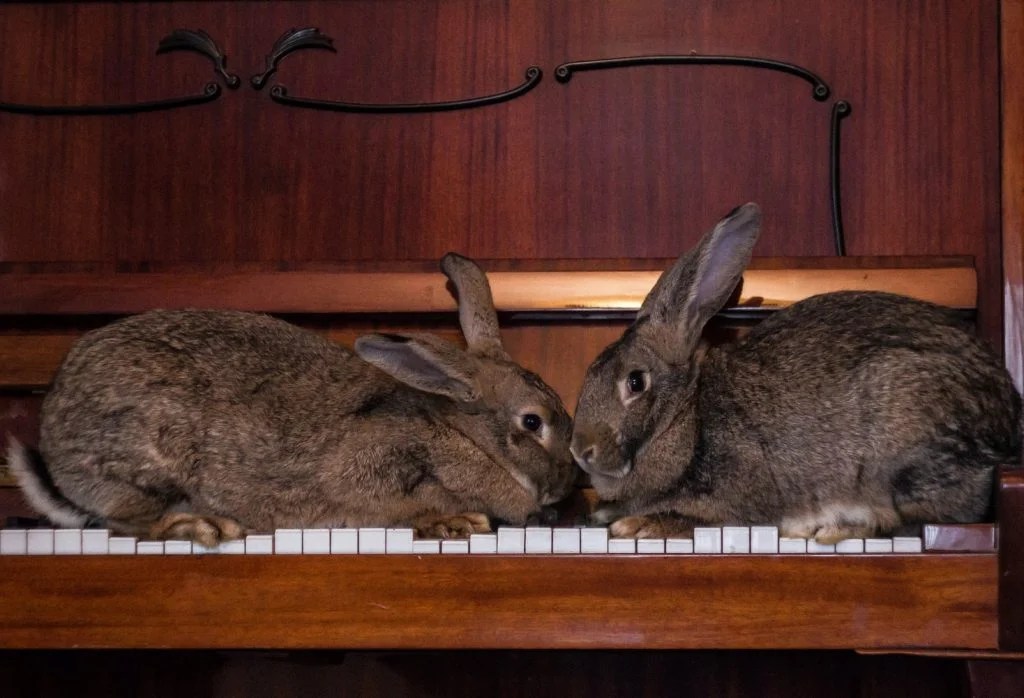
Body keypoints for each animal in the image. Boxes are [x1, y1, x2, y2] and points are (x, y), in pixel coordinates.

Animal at [8, 253, 576, 547]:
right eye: (533, 423)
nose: (564, 487)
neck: (467, 438)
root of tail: (55, 454)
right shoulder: (368, 475)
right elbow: (399, 507)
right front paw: (452, 523)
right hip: (147, 466)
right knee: (125, 524)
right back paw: (200, 526)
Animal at [570, 203, 1022, 543]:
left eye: (635, 382)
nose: (580, 450)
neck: (686, 420)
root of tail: (1006, 429)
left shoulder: (741, 499)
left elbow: (702, 519)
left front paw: (637, 526)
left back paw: (832, 531)